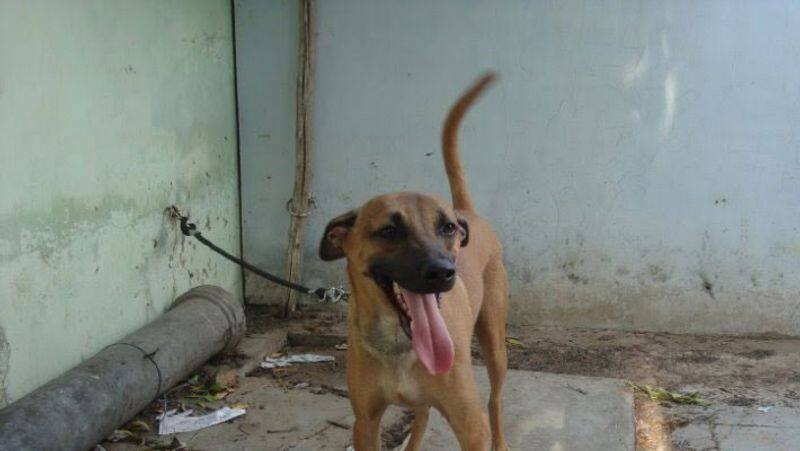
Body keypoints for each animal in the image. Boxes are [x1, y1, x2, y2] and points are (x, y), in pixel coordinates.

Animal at [318, 74, 506, 451]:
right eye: (389, 230)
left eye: (447, 228)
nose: (443, 272)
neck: (399, 344)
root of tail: (469, 212)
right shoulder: (365, 422)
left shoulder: (471, 427)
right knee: (421, 415)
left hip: (495, 344)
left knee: (494, 401)